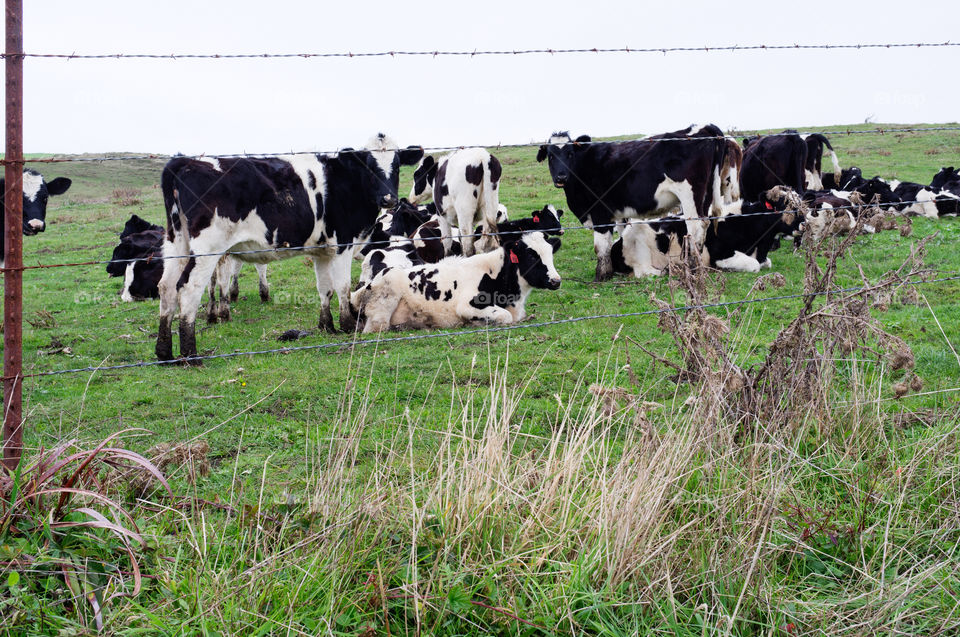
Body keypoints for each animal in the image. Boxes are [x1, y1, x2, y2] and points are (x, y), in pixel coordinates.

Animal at [156, 147, 402, 362]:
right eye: (370, 166)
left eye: (397, 166)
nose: (389, 199)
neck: (346, 181)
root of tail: (184, 162)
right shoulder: (343, 244)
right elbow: (342, 287)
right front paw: (348, 326)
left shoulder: (321, 251)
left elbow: (325, 289)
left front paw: (327, 326)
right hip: (208, 248)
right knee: (189, 288)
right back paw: (190, 354)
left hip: (177, 242)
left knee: (166, 287)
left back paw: (164, 352)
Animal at [352, 231, 560, 333]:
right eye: (532, 256)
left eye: (551, 254)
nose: (556, 281)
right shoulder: (467, 305)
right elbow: (504, 316)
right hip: (383, 303)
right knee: (374, 328)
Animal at [536, 124, 728, 281]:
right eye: (551, 156)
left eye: (570, 154)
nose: (561, 177)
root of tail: (703, 128)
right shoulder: (619, 214)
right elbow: (619, 238)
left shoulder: (600, 212)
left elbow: (601, 247)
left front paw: (601, 276)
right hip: (706, 196)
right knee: (704, 225)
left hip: (689, 196)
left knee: (695, 228)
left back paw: (693, 266)